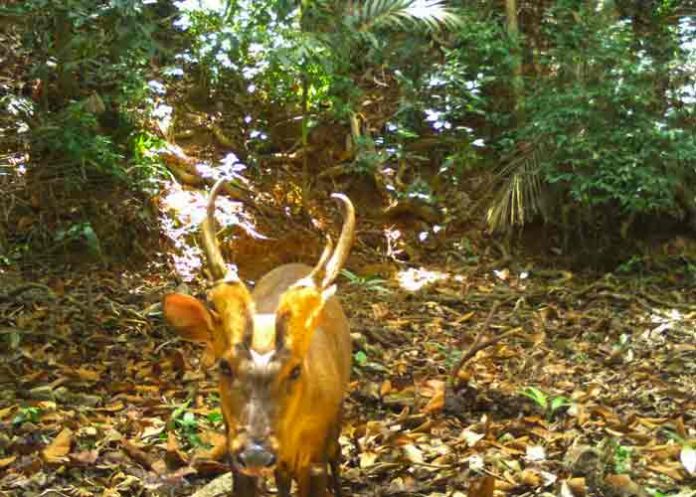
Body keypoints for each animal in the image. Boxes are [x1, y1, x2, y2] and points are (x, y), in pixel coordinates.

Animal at [162, 179, 355, 497]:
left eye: (296, 370)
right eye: (224, 366)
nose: (256, 455)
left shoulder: (315, 454)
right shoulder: (233, 443)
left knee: (337, 453)